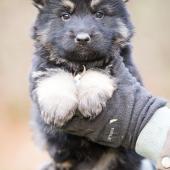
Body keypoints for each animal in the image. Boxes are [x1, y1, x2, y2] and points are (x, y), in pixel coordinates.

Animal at [29, 0, 149, 170]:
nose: (82, 39)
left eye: (99, 14)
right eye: (65, 16)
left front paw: (91, 97)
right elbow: (54, 74)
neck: (80, 63)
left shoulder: (120, 63)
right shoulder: (43, 64)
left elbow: (99, 70)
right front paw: (58, 106)